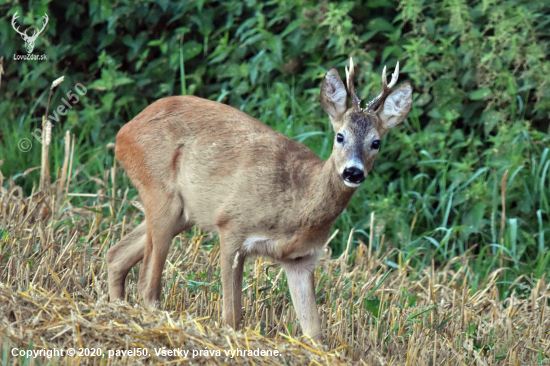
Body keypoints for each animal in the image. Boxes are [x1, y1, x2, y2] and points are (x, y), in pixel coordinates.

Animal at [105, 58, 412, 344]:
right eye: (340, 136)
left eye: (376, 143)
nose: (353, 172)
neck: (297, 202)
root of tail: (123, 132)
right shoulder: (232, 226)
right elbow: (232, 315)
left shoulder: (302, 259)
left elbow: (314, 332)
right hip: (159, 192)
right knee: (147, 284)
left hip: (183, 212)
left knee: (116, 255)